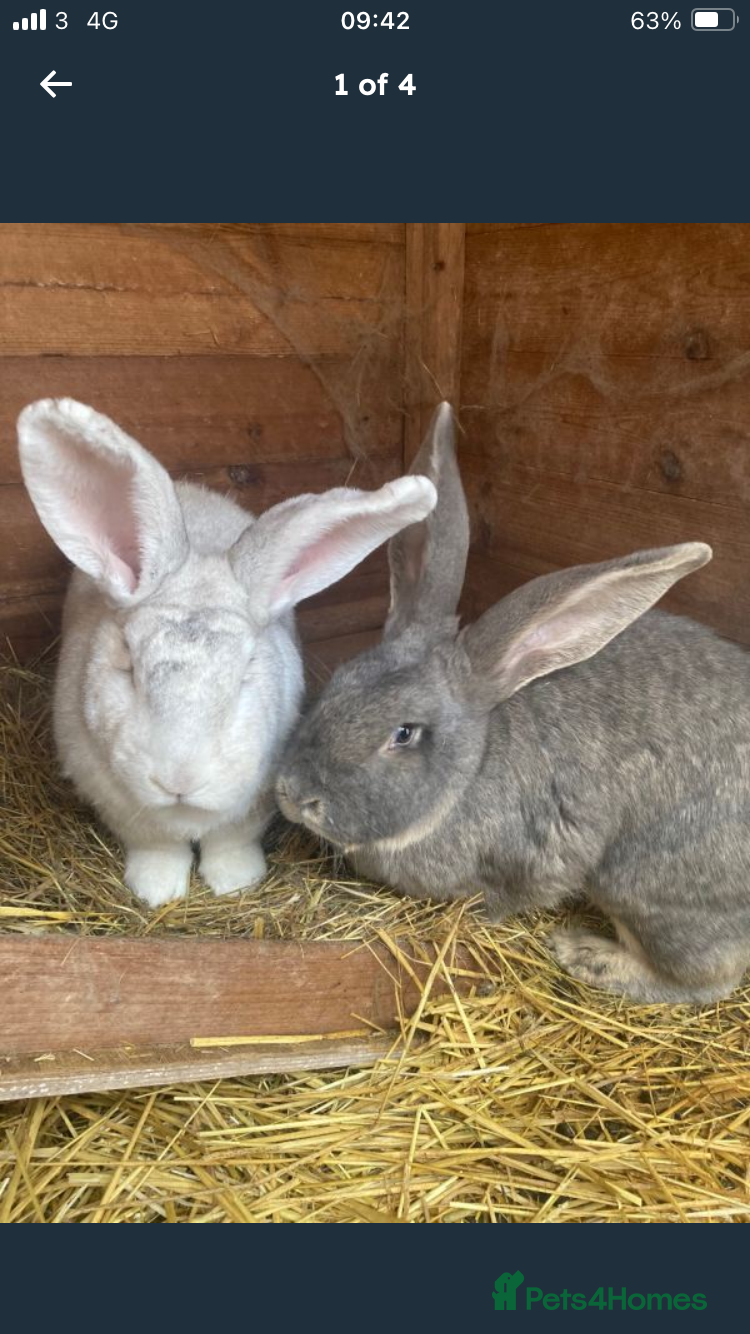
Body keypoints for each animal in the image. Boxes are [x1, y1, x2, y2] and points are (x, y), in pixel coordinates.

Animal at [18, 397, 437, 908]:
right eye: (130, 667)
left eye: (246, 672)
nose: (179, 781)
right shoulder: (115, 801)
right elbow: (156, 846)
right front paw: (157, 890)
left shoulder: (256, 801)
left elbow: (230, 842)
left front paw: (236, 882)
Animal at [277, 401, 750, 1004]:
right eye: (339, 679)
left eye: (404, 733)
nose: (293, 795)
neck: (469, 771)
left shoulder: (538, 857)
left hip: (649, 886)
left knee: (706, 976)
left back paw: (588, 955)